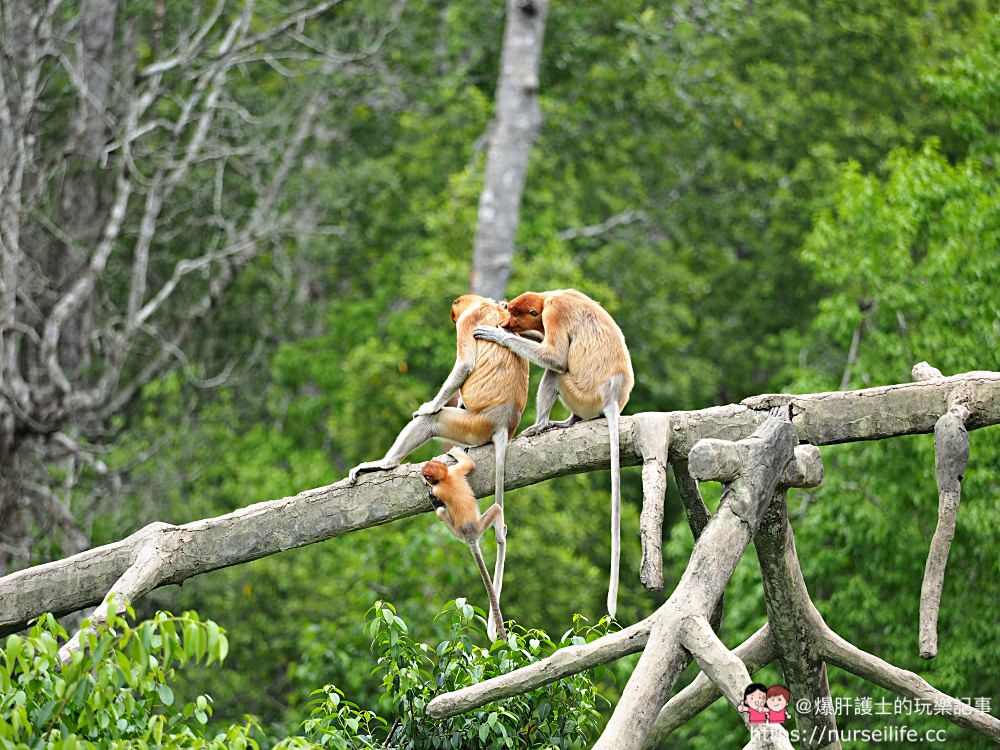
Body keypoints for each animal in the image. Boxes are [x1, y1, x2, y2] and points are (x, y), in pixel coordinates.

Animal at [420, 450, 508, 644]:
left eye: (427, 475)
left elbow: (438, 497)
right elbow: (469, 465)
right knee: (496, 508)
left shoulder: (445, 480)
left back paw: (500, 537)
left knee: (441, 512)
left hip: (459, 532)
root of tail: (470, 535)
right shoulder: (455, 472)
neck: (445, 478)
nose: (423, 476)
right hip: (480, 525)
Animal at [470, 290, 632, 620]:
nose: (507, 322)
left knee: (556, 373)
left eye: (516, 313)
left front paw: (498, 335)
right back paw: (567, 423)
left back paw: (542, 425)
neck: (548, 298)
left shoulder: (555, 313)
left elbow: (555, 356)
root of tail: (612, 399)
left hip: (581, 394)